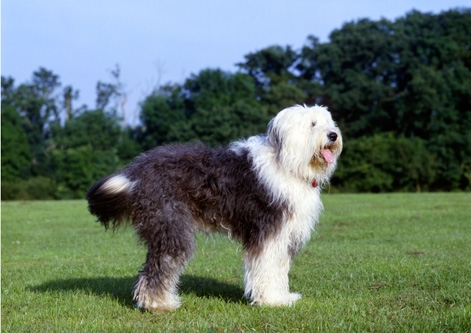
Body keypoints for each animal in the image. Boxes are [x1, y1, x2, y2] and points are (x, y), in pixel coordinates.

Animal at [85, 104, 342, 312]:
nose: (333, 135)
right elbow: (267, 267)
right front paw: (270, 300)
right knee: (159, 267)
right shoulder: (268, 231)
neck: (287, 163)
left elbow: (278, 268)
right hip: (171, 225)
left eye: (328, 122)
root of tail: (139, 170)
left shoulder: (284, 236)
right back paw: (160, 304)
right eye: (312, 124)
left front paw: (282, 297)